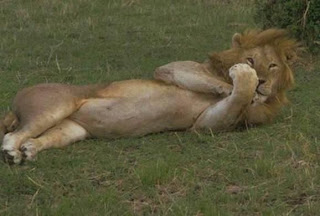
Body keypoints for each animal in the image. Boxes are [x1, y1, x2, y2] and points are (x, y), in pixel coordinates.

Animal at [0, 28, 300, 164]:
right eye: (250, 59)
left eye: (273, 66)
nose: (262, 81)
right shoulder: (172, 68)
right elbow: (218, 84)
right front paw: (238, 81)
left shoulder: (204, 124)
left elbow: (228, 107)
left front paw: (247, 93)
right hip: (57, 105)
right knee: (13, 134)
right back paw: (12, 151)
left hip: (72, 129)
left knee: (40, 137)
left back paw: (30, 149)